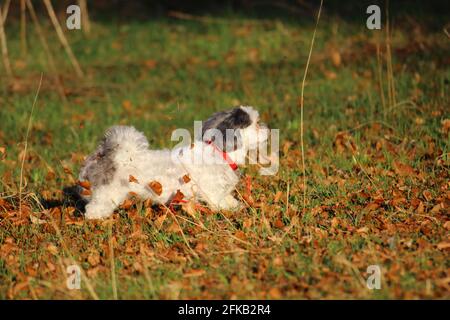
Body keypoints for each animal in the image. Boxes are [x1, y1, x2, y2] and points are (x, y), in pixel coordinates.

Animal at [76, 106, 268, 219]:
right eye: (257, 124)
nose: (267, 127)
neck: (220, 152)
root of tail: (109, 154)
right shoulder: (213, 194)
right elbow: (221, 206)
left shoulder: (222, 192)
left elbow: (231, 201)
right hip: (107, 194)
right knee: (94, 209)